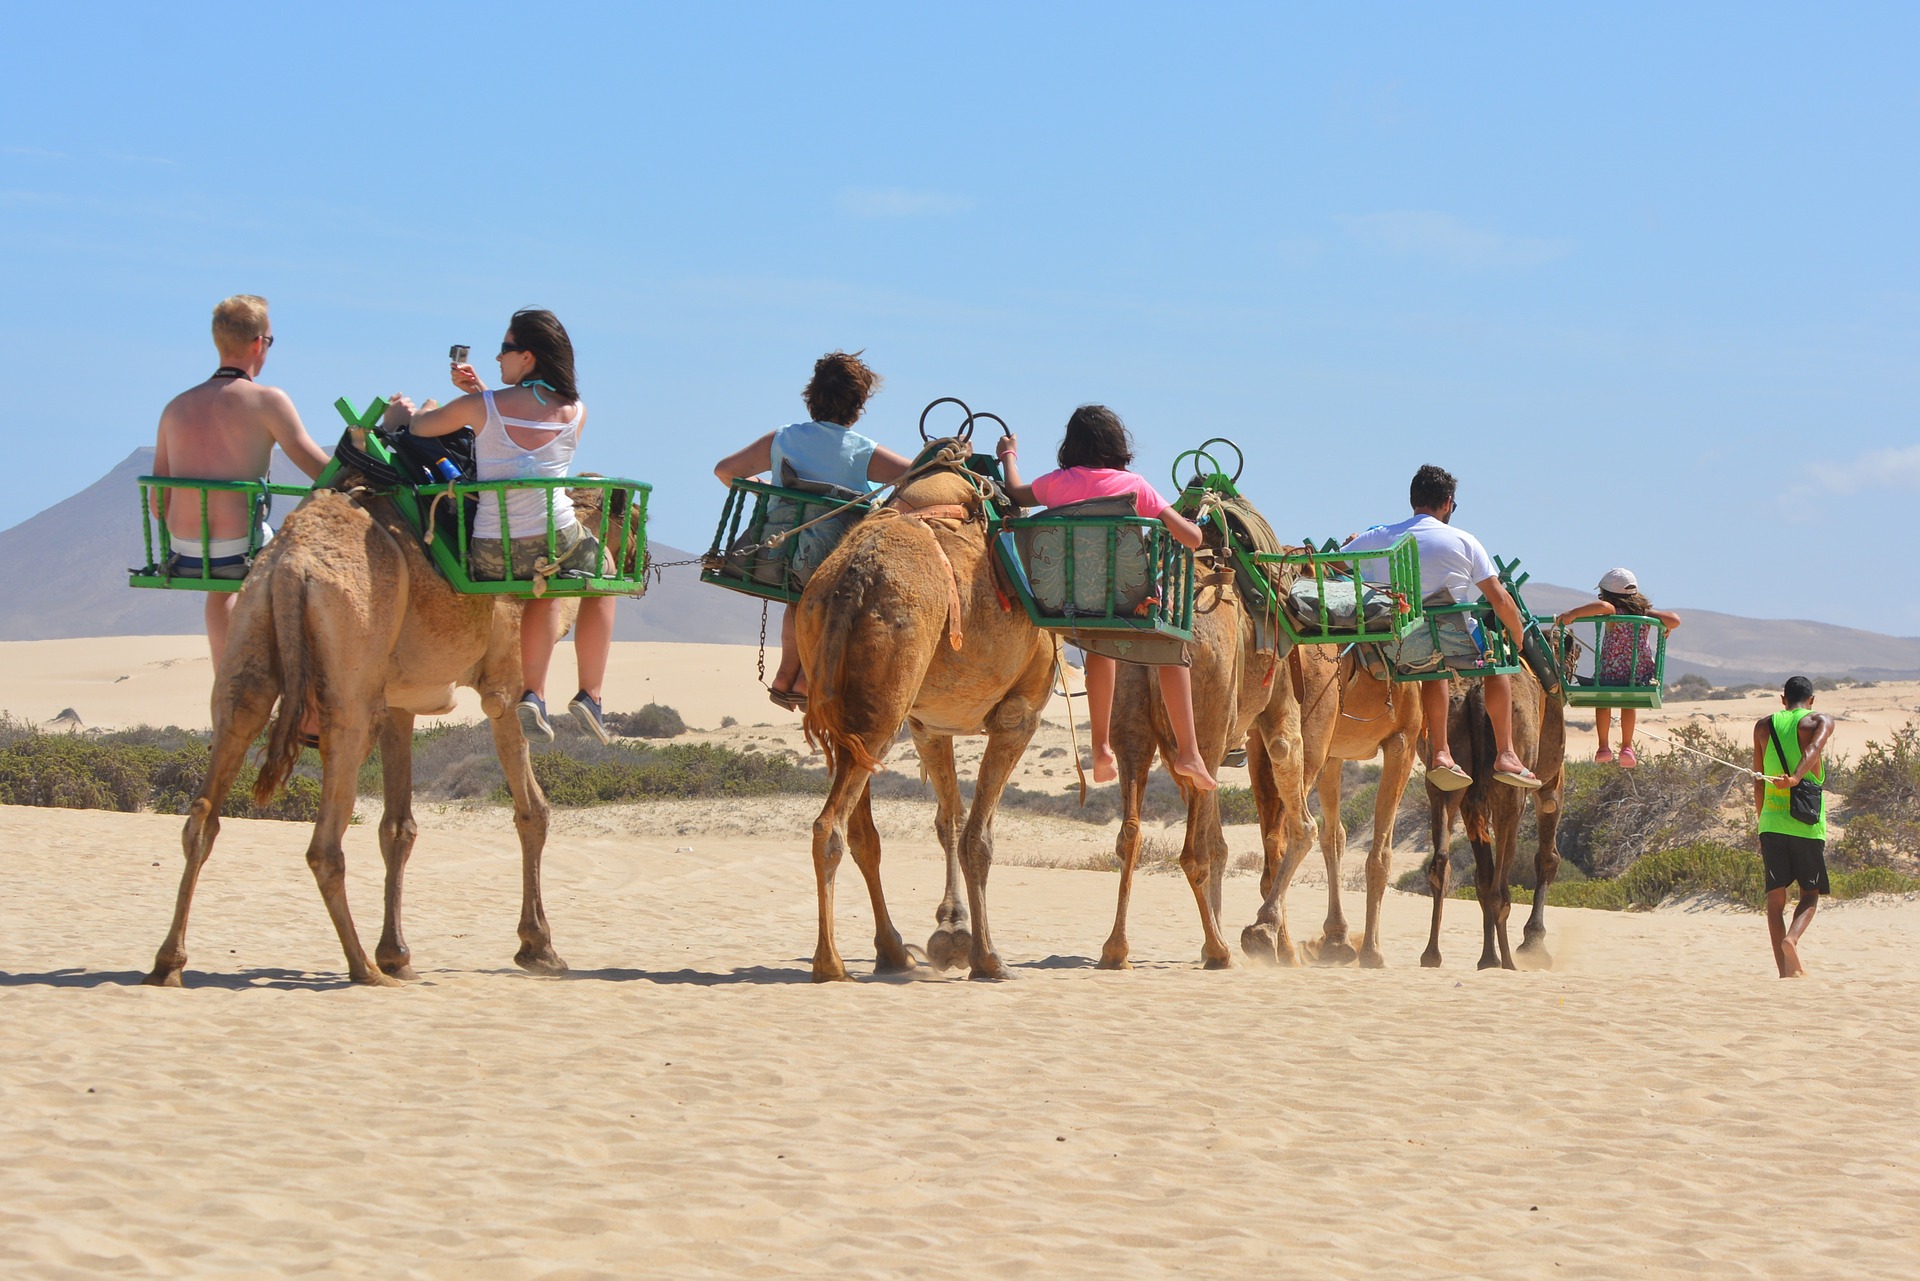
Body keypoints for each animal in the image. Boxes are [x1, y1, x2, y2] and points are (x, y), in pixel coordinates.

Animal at [143, 480, 568, 990]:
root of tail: (289, 568)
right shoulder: (503, 677)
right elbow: (532, 811)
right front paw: (539, 947)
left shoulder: (399, 702)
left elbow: (398, 827)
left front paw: (399, 955)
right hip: (350, 681)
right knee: (325, 842)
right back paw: (363, 967)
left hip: (249, 640)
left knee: (207, 804)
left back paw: (168, 963)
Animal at [802, 449, 1059, 983]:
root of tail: (853, 576)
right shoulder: (1019, 715)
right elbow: (977, 837)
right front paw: (987, 957)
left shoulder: (927, 725)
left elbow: (950, 822)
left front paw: (952, 932)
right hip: (884, 708)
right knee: (830, 826)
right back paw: (831, 963)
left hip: (849, 701)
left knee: (858, 831)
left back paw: (888, 951)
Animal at [1420, 668, 1566, 967]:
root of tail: (1475, 692)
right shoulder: (1551, 781)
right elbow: (1548, 857)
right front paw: (1533, 945)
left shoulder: (1471, 802)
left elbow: (1482, 876)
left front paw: (1488, 958)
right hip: (1511, 791)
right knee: (1500, 888)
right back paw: (1510, 963)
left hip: (1448, 768)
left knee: (1442, 862)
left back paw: (1432, 955)